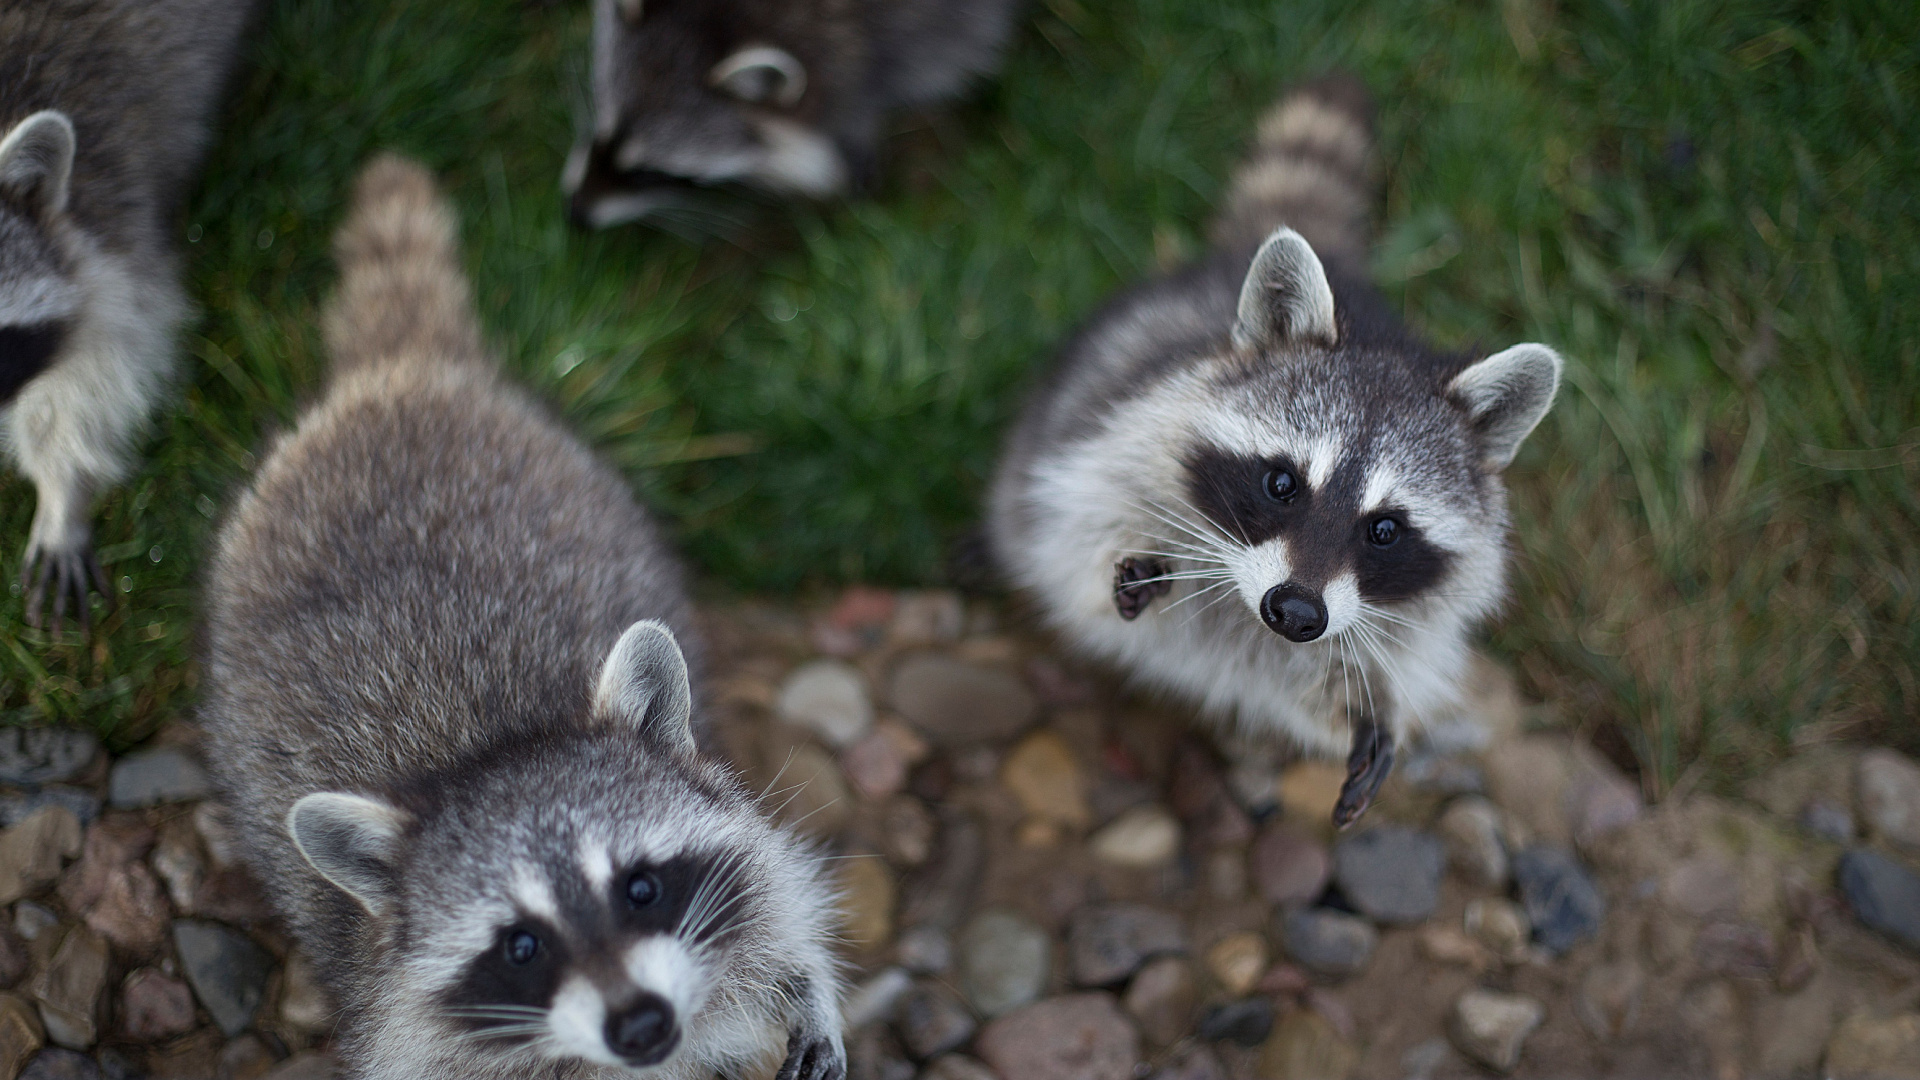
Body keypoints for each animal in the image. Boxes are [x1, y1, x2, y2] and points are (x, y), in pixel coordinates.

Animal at [201, 157, 846, 1080]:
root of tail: (402, 371)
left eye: (641, 887)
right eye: (521, 945)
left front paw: (809, 987)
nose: (641, 1025)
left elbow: (782, 918)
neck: (489, 743)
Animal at [987, 77, 1562, 826]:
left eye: (1385, 528)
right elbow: (1074, 546)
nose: (1295, 613)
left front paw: (1373, 696)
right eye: (1282, 483)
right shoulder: (1104, 449)